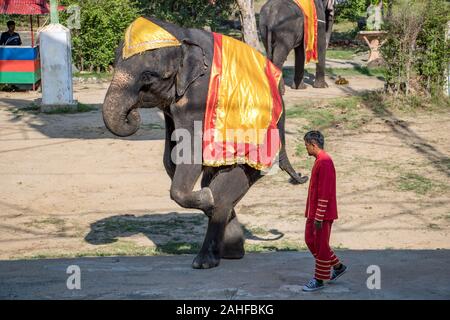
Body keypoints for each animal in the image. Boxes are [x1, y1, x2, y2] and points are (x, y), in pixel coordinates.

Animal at [102, 16, 308, 270]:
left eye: (147, 76)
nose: (132, 114)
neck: (182, 36)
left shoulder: (199, 95)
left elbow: (190, 151)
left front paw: (207, 199)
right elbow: (171, 159)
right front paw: (205, 198)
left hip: (261, 148)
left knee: (226, 190)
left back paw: (205, 256)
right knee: (220, 189)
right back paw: (230, 250)